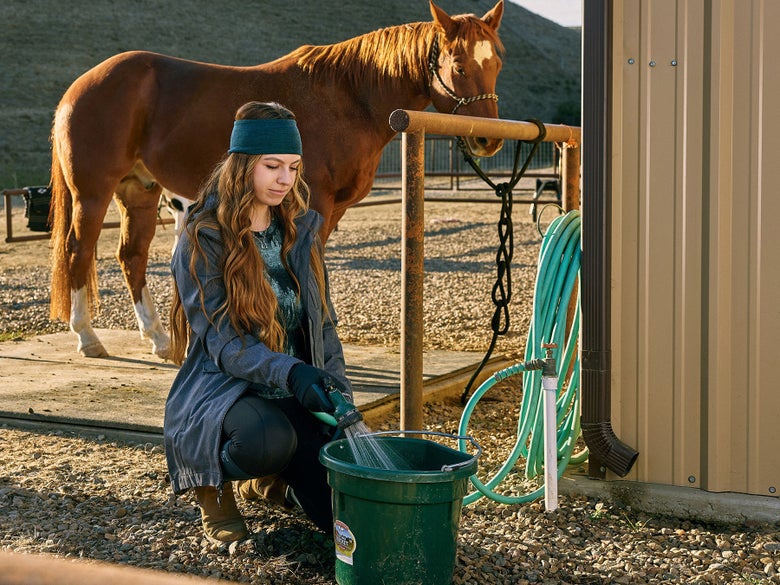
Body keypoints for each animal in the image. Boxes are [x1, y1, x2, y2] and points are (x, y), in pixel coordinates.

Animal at [49, 0, 505, 359]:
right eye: (459, 65)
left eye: (496, 63)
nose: (489, 139)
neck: (348, 97)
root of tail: (79, 87)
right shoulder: (314, 203)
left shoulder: (330, 210)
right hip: (93, 193)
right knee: (78, 250)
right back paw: (88, 338)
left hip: (139, 191)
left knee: (132, 256)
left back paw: (160, 340)